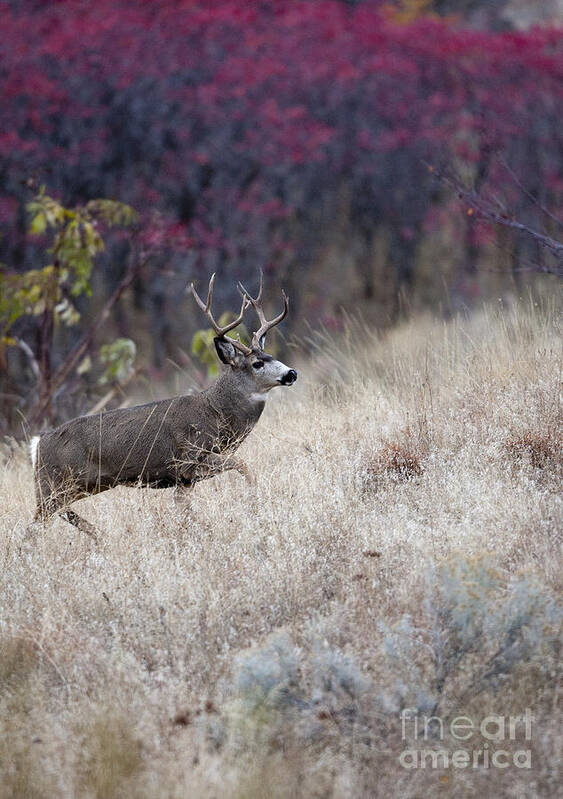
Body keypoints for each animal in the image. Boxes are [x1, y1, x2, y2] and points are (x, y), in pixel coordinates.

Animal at [28, 272, 298, 540]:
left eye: (271, 356)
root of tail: (38, 443)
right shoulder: (189, 458)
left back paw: (98, 534)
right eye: (257, 364)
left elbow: (184, 510)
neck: (216, 412)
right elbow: (244, 465)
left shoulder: (184, 480)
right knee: (35, 525)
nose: (291, 373)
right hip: (53, 483)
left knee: (58, 515)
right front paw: (254, 502)